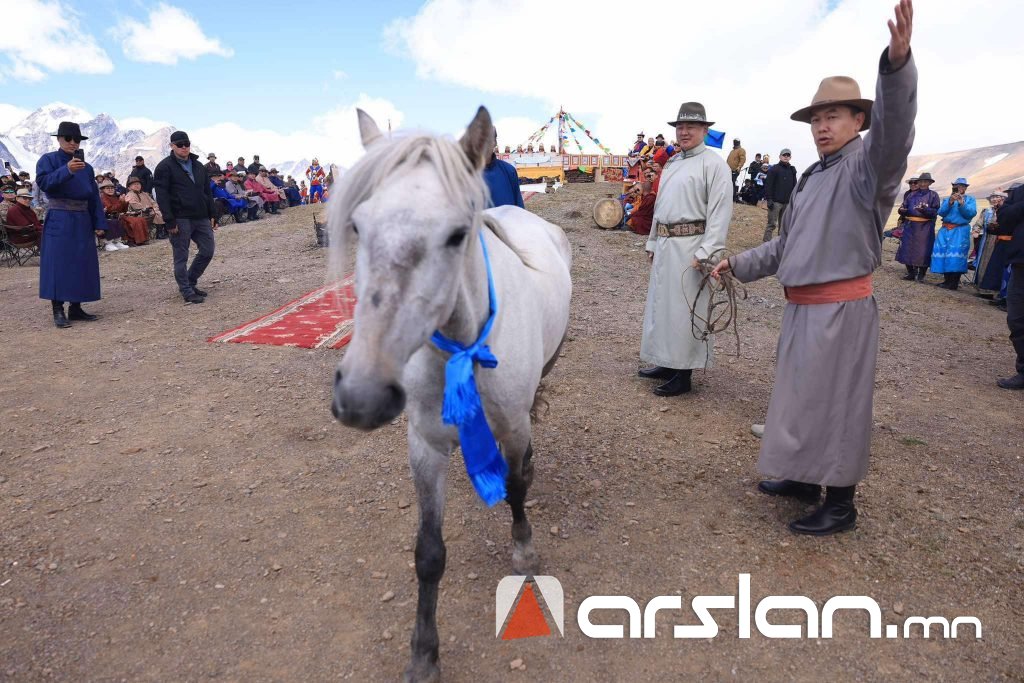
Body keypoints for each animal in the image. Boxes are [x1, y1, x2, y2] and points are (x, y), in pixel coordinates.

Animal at [329, 108, 573, 683]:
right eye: (357, 226)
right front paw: (423, 654)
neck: (463, 346)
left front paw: (524, 551)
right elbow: (428, 553)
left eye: (458, 233)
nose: (362, 395)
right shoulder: (425, 445)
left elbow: (517, 485)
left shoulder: (513, 427)